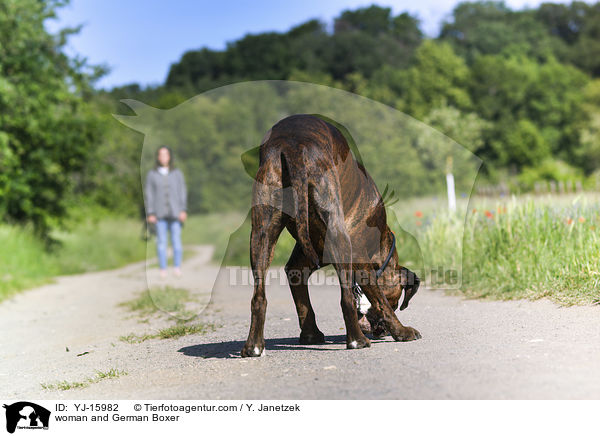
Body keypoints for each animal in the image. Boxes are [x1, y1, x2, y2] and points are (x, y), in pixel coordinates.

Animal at [240, 114, 422, 356]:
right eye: (395, 301)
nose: (381, 332)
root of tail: (293, 143)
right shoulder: (360, 259)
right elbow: (379, 300)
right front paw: (402, 331)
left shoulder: (299, 265)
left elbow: (303, 301)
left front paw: (310, 334)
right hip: (337, 231)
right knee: (346, 298)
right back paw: (357, 340)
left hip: (262, 231)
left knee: (258, 296)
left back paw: (254, 346)